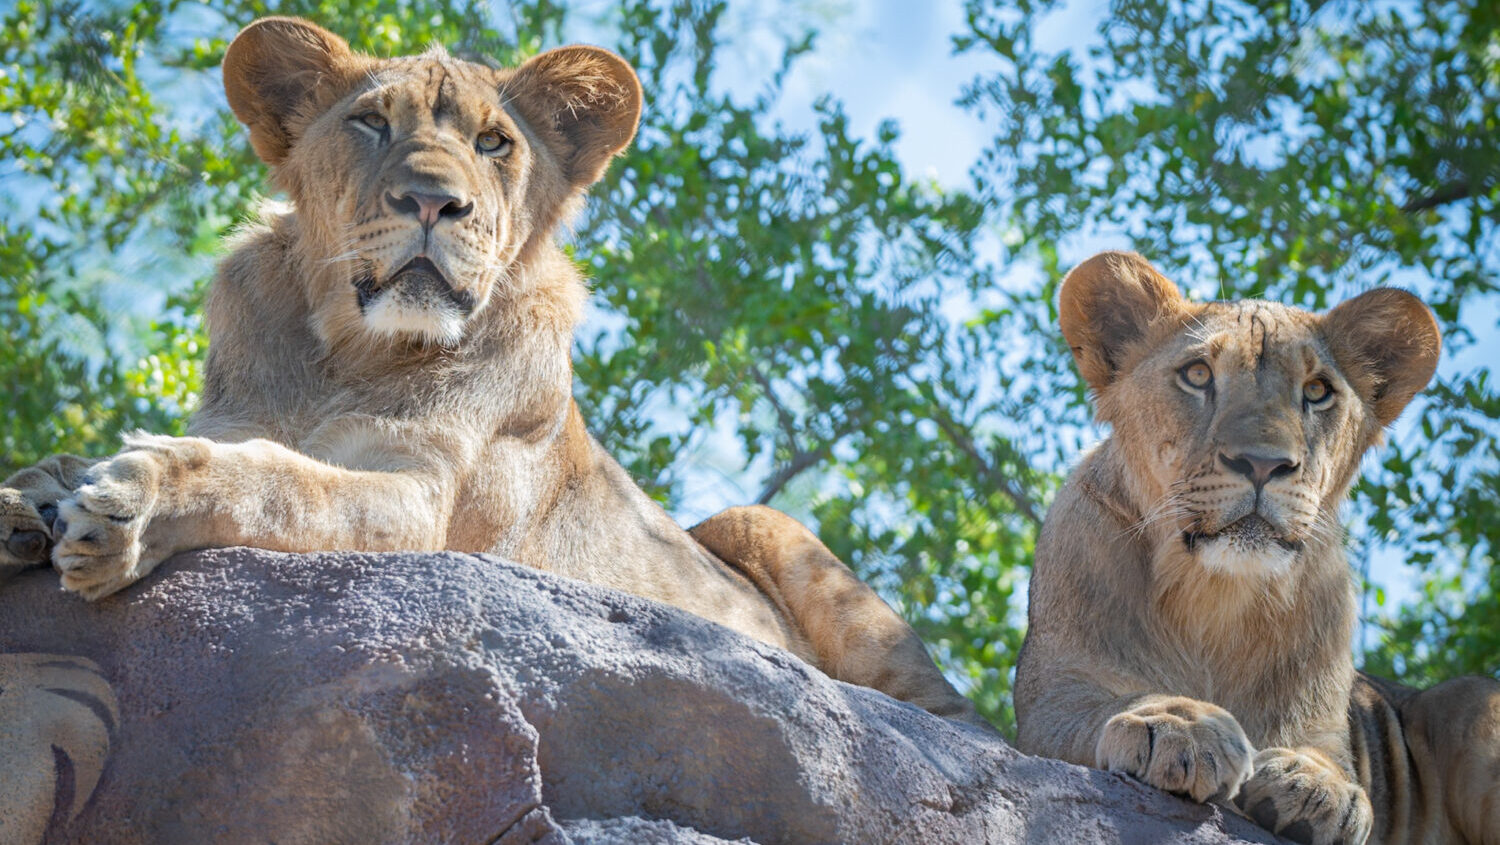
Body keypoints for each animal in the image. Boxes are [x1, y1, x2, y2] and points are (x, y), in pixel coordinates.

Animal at [0, 17, 983, 730]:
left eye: (493, 142)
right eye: (370, 123)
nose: (434, 201)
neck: (346, 349)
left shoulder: (420, 498)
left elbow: (275, 483)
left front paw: (130, 504)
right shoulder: (235, 417)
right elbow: (122, 456)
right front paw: (27, 497)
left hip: (770, 528)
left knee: (962, 728)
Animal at [1014, 251, 1500, 844]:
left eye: (1317, 391)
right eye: (1198, 374)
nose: (1264, 464)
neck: (1213, 595)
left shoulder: (1328, 723)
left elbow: (1330, 757)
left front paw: (1315, 785)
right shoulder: (1056, 692)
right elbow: (1111, 699)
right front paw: (1179, 725)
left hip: (1473, 712)